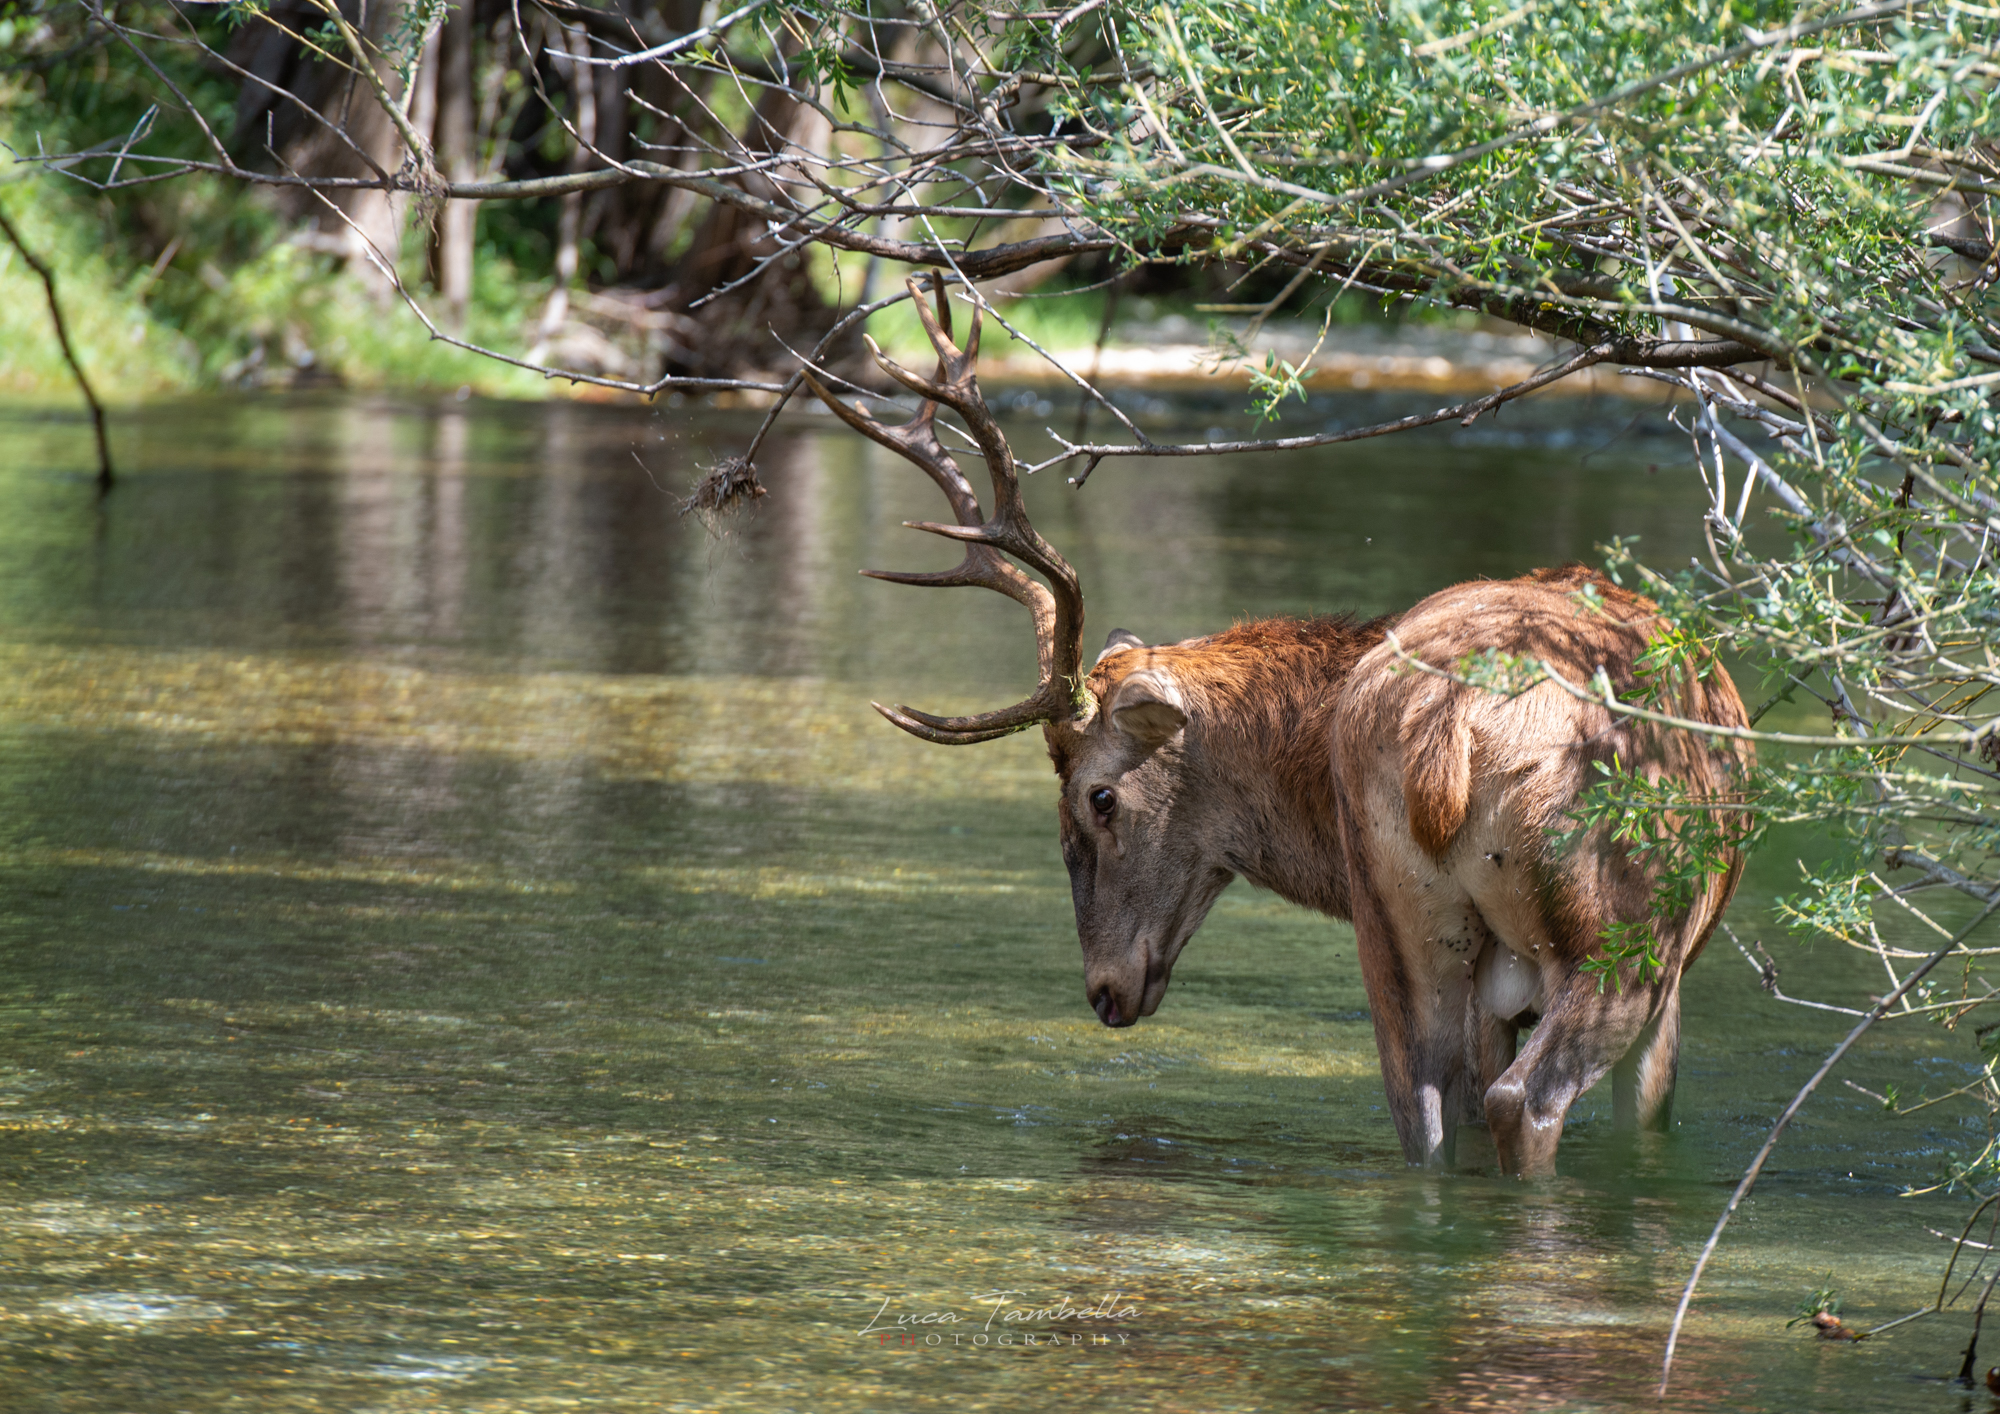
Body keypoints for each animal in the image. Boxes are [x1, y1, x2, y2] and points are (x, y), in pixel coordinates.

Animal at [800, 280, 1752, 1177]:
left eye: (1098, 798)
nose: (1102, 991)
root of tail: (1448, 731)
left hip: (1402, 921)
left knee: (1425, 1112)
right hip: (1625, 926)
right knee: (1524, 1099)